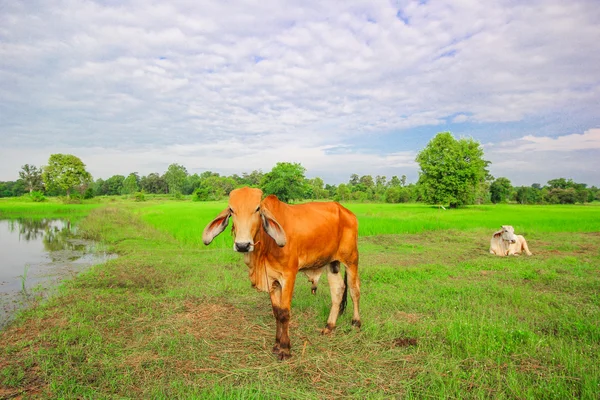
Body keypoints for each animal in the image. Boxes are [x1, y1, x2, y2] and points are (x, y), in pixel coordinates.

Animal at [202, 187, 360, 360]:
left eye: (257, 209)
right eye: (231, 210)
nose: (243, 245)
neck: (266, 245)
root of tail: (346, 212)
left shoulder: (289, 275)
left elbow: (284, 313)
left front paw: (285, 349)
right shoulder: (272, 279)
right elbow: (277, 312)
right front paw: (277, 345)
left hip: (351, 260)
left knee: (354, 291)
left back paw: (356, 323)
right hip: (332, 264)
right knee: (338, 290)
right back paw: (329, 327)